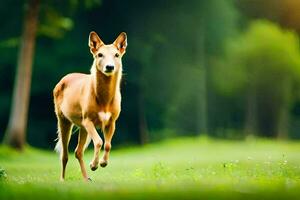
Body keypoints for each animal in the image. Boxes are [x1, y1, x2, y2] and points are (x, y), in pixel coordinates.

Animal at [53, 31, 127, 181]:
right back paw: (62, 179)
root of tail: (62, 80)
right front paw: (94, 165)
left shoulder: (111, 121)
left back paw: (86, 179)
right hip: (63, 119)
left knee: (78, 151)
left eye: (117, 54)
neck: (104, 101)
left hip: (81, 127)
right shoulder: (87, 119)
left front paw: (103, 163)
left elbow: (108, 144)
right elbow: (99, 141)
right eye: (100, 54)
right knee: (64, 154)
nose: (109, 67)